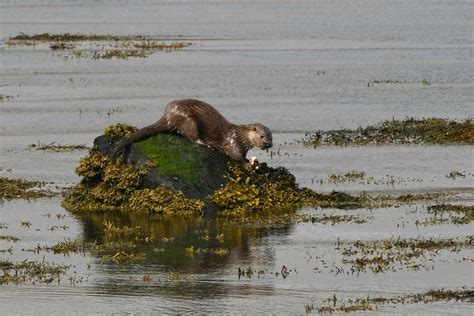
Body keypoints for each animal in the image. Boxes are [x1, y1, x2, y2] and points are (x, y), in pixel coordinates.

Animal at [112, 99, 272, 168]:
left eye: (271, 137)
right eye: (262, 136)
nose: (268, 144)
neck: (239, 135)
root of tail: (168, 115)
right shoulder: (233, 142)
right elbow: (235, 156)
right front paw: (247, 165)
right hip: (188, 120)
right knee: (191, 136)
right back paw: (206, 144)